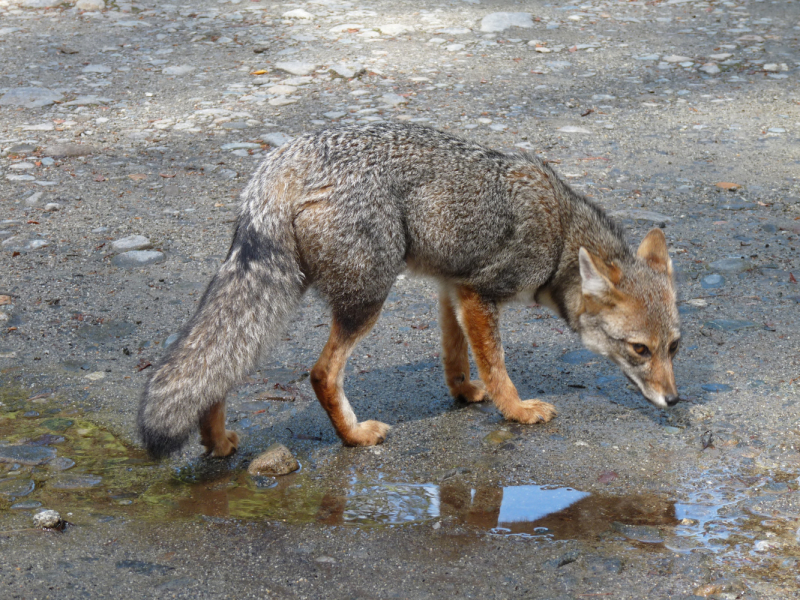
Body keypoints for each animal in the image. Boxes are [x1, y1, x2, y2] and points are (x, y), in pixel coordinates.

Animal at [139, 123, 680, 460]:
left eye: (674, 347)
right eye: (639, 350)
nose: (675, 400)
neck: (563, 235)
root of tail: (284, 159)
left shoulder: (454, 287)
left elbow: (455, 355)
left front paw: (464, 393)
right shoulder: (482, 294)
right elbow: (498, 365)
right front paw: (517, 410)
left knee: (218, 363)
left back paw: (217, 441)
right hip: (365, 301)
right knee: (320, 373)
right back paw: (355, 436)